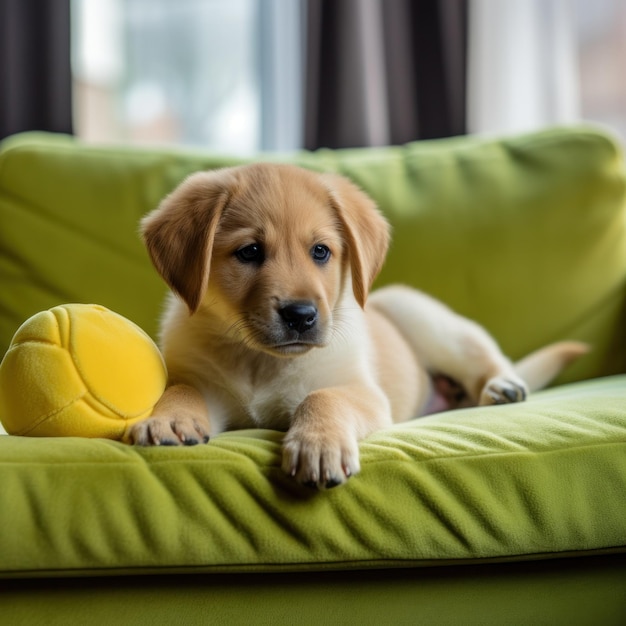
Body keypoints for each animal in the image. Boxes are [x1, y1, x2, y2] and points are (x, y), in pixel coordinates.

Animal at [127, 163, 584, 486]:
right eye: (250, 252)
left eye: (321, 251)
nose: (301, 315)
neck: (261, 361)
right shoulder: (207, 385)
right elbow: (182, 389)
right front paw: (170, 420)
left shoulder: (362, 391)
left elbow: (323, 397)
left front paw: (318, 444)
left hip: (425, 318)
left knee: (484, 354)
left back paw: (502, 385)